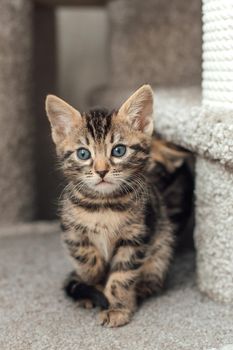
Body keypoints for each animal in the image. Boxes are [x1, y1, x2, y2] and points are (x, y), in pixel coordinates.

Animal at [46, 85, 176, 328]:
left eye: (118, 151)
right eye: (83, 154)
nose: (101, 171)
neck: (103, 204)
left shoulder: (137, 235)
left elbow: (121, 276)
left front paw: (118, 308)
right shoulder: (70, 228)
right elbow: (84, 256)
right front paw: (93, 278)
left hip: (162, 243)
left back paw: (141, 289)